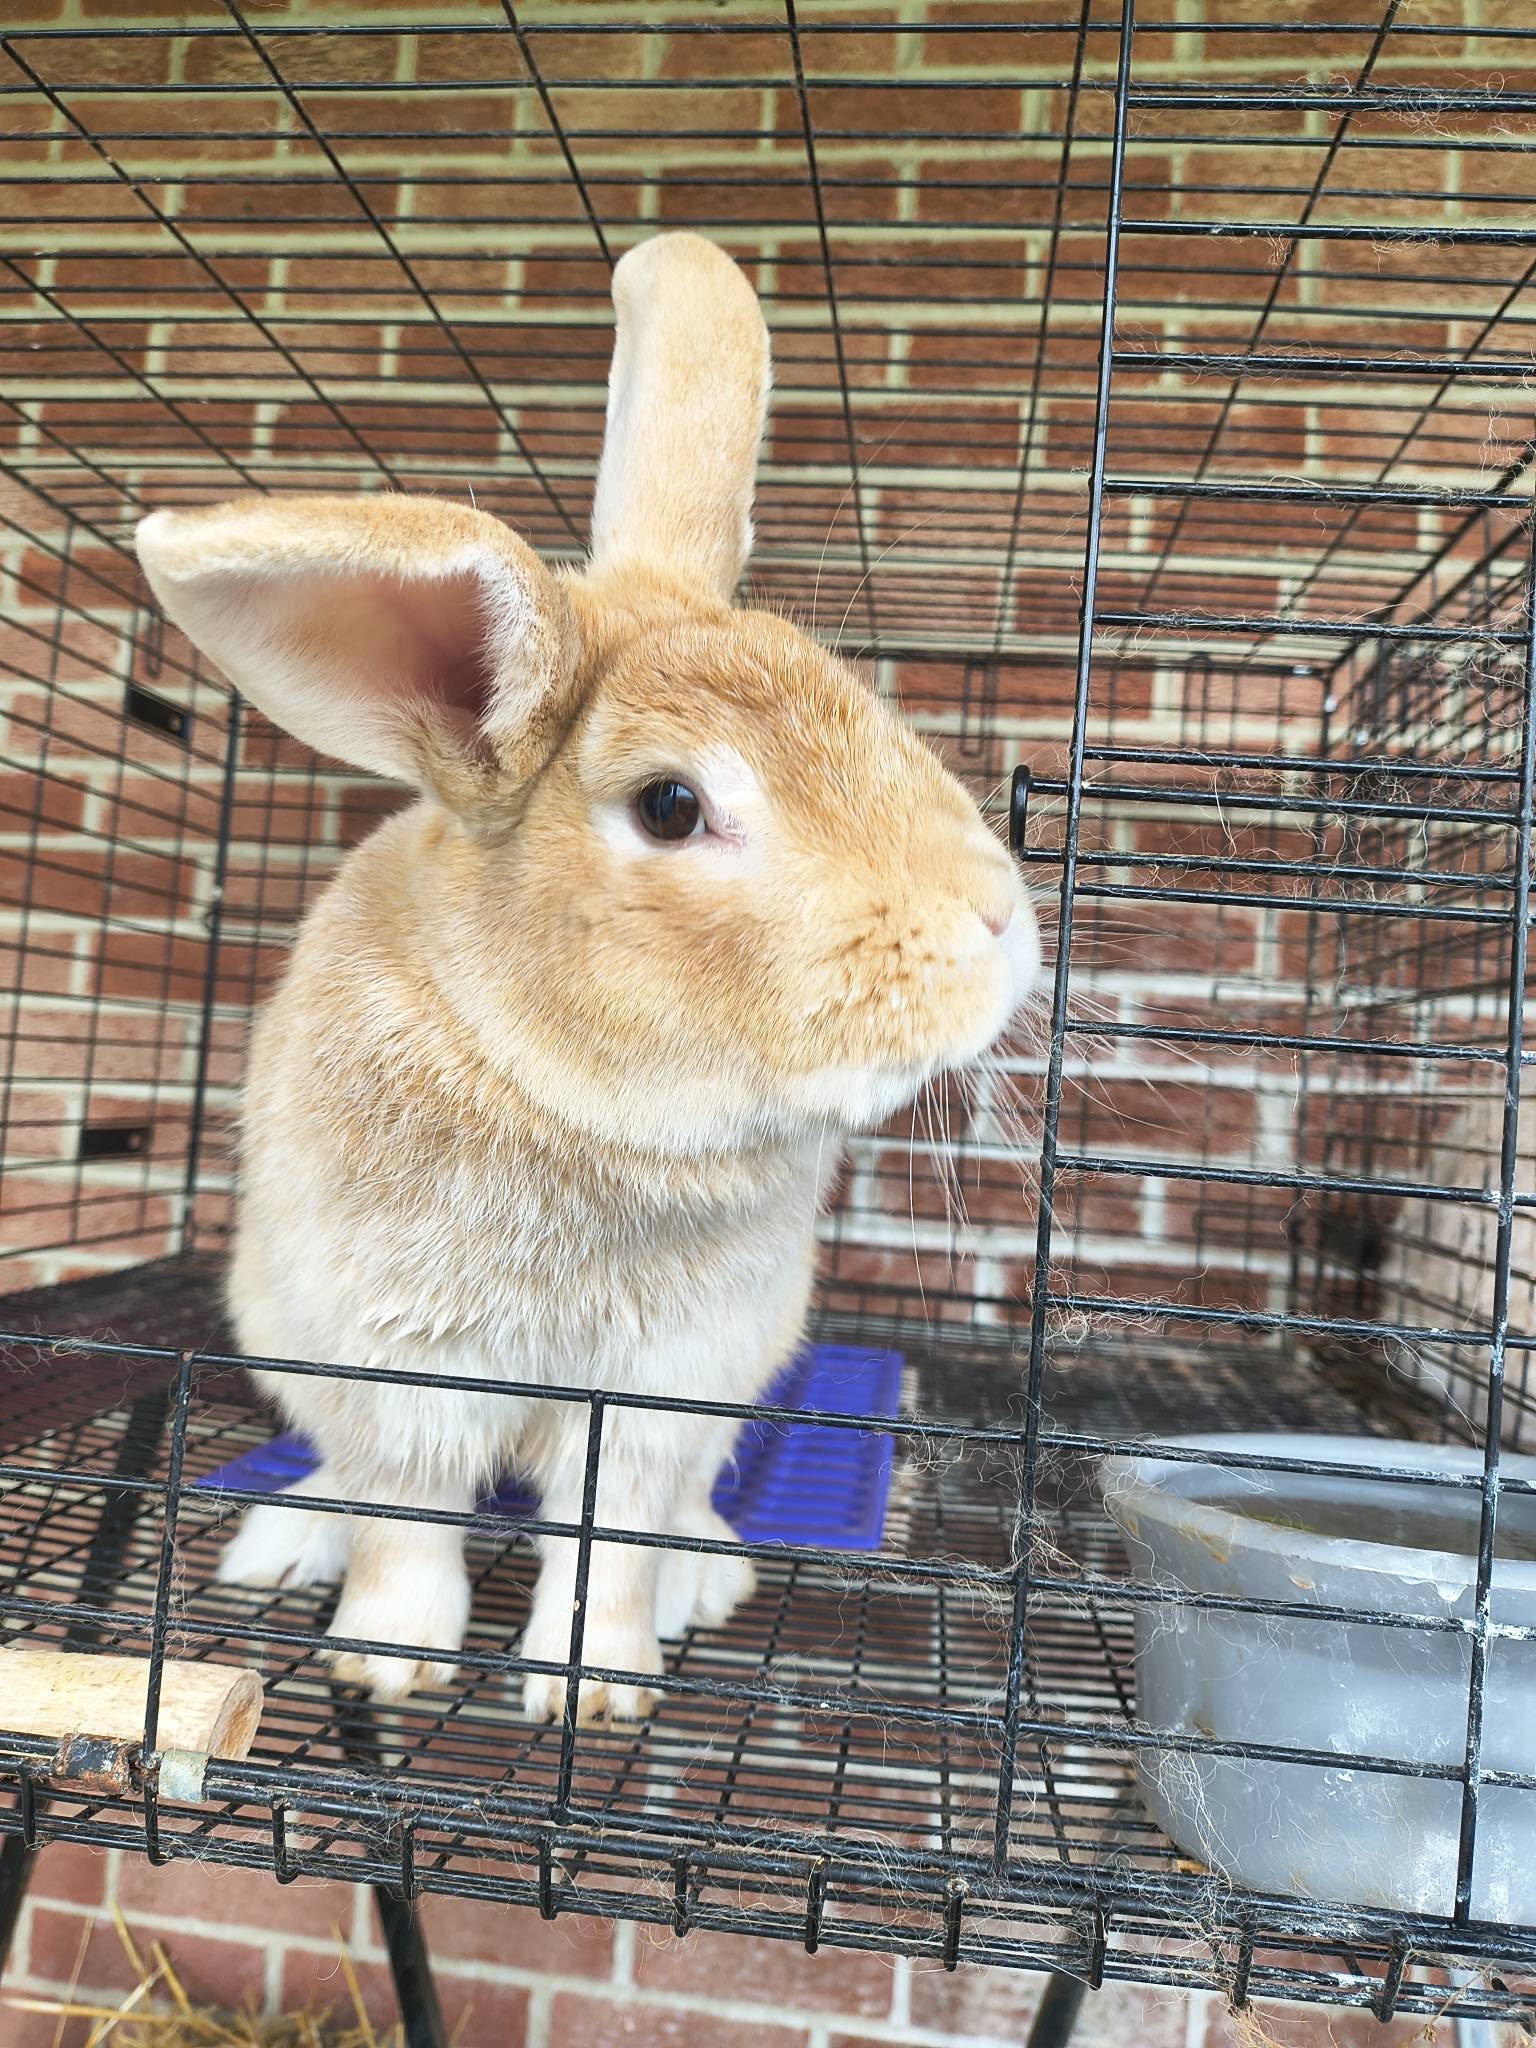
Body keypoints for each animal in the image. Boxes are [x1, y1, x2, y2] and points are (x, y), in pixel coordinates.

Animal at [134, 233, 1040, 1721]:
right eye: (671, 807)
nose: (1002, 923)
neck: (575, 1103)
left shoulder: (670, 1388)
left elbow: (609, 1540)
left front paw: (598, 1689)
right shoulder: (399, 1365)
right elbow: (406, 1521)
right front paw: (388, 1664)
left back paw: (704, 1578)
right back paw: (284, 1543)